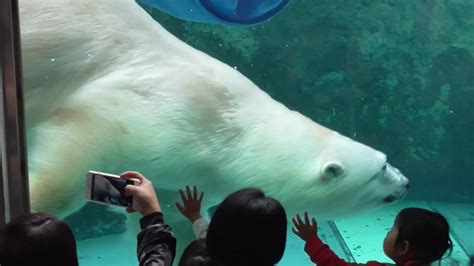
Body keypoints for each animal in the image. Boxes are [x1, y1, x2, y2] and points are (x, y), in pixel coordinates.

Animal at [19, 0, 408, 220]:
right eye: (381, 167)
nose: (405, 182)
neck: (232, 131)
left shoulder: (184, 171)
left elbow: (173, 208)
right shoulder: (157, 110)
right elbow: (77, 149)